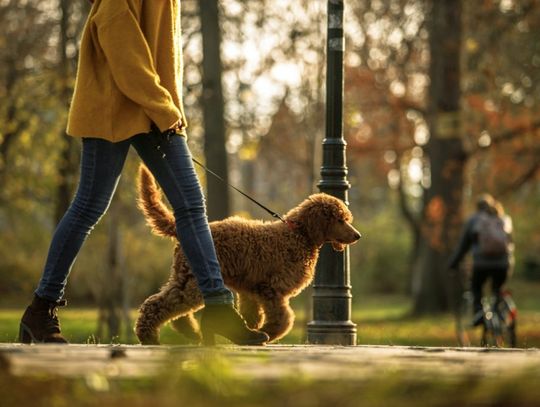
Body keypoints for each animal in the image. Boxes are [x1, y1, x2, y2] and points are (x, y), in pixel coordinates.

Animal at [135, 166, 360, 344]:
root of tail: (178, 228)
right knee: (159, 304)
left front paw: (249, 331)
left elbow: (253, 314)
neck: (298, 234)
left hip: (186, 276)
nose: (358, 236)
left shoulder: (251, 290)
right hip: (193, 279)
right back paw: (149, 336)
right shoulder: (271, 289)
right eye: (340, 220)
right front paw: (267, 332)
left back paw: (191, 333)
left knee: (174, 305)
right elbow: (283, 319)